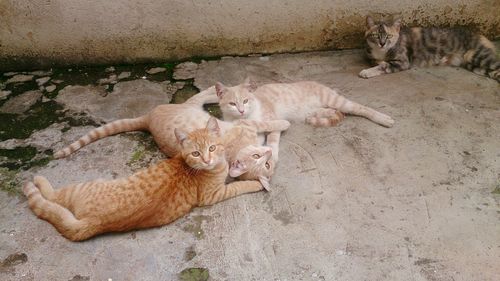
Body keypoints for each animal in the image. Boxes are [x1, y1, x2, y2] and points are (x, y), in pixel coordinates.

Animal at [23, 118, 264, 241]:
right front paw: (256, 182)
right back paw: (36, 180)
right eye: (196, 153)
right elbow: (240, 185)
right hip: (84, 185)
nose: (207, 159)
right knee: (51, 195)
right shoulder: (213, 195)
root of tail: (94, 222)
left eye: (212, 148)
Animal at [360, 16, 500, 82]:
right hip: (474, 65)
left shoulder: (403, 62)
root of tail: (480, 35)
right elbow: (377, 62)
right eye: (375, 35)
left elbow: (383, 66)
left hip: (475, 56)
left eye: (389, 36)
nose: (382, 43)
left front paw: (366, 72)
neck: (381, 52)